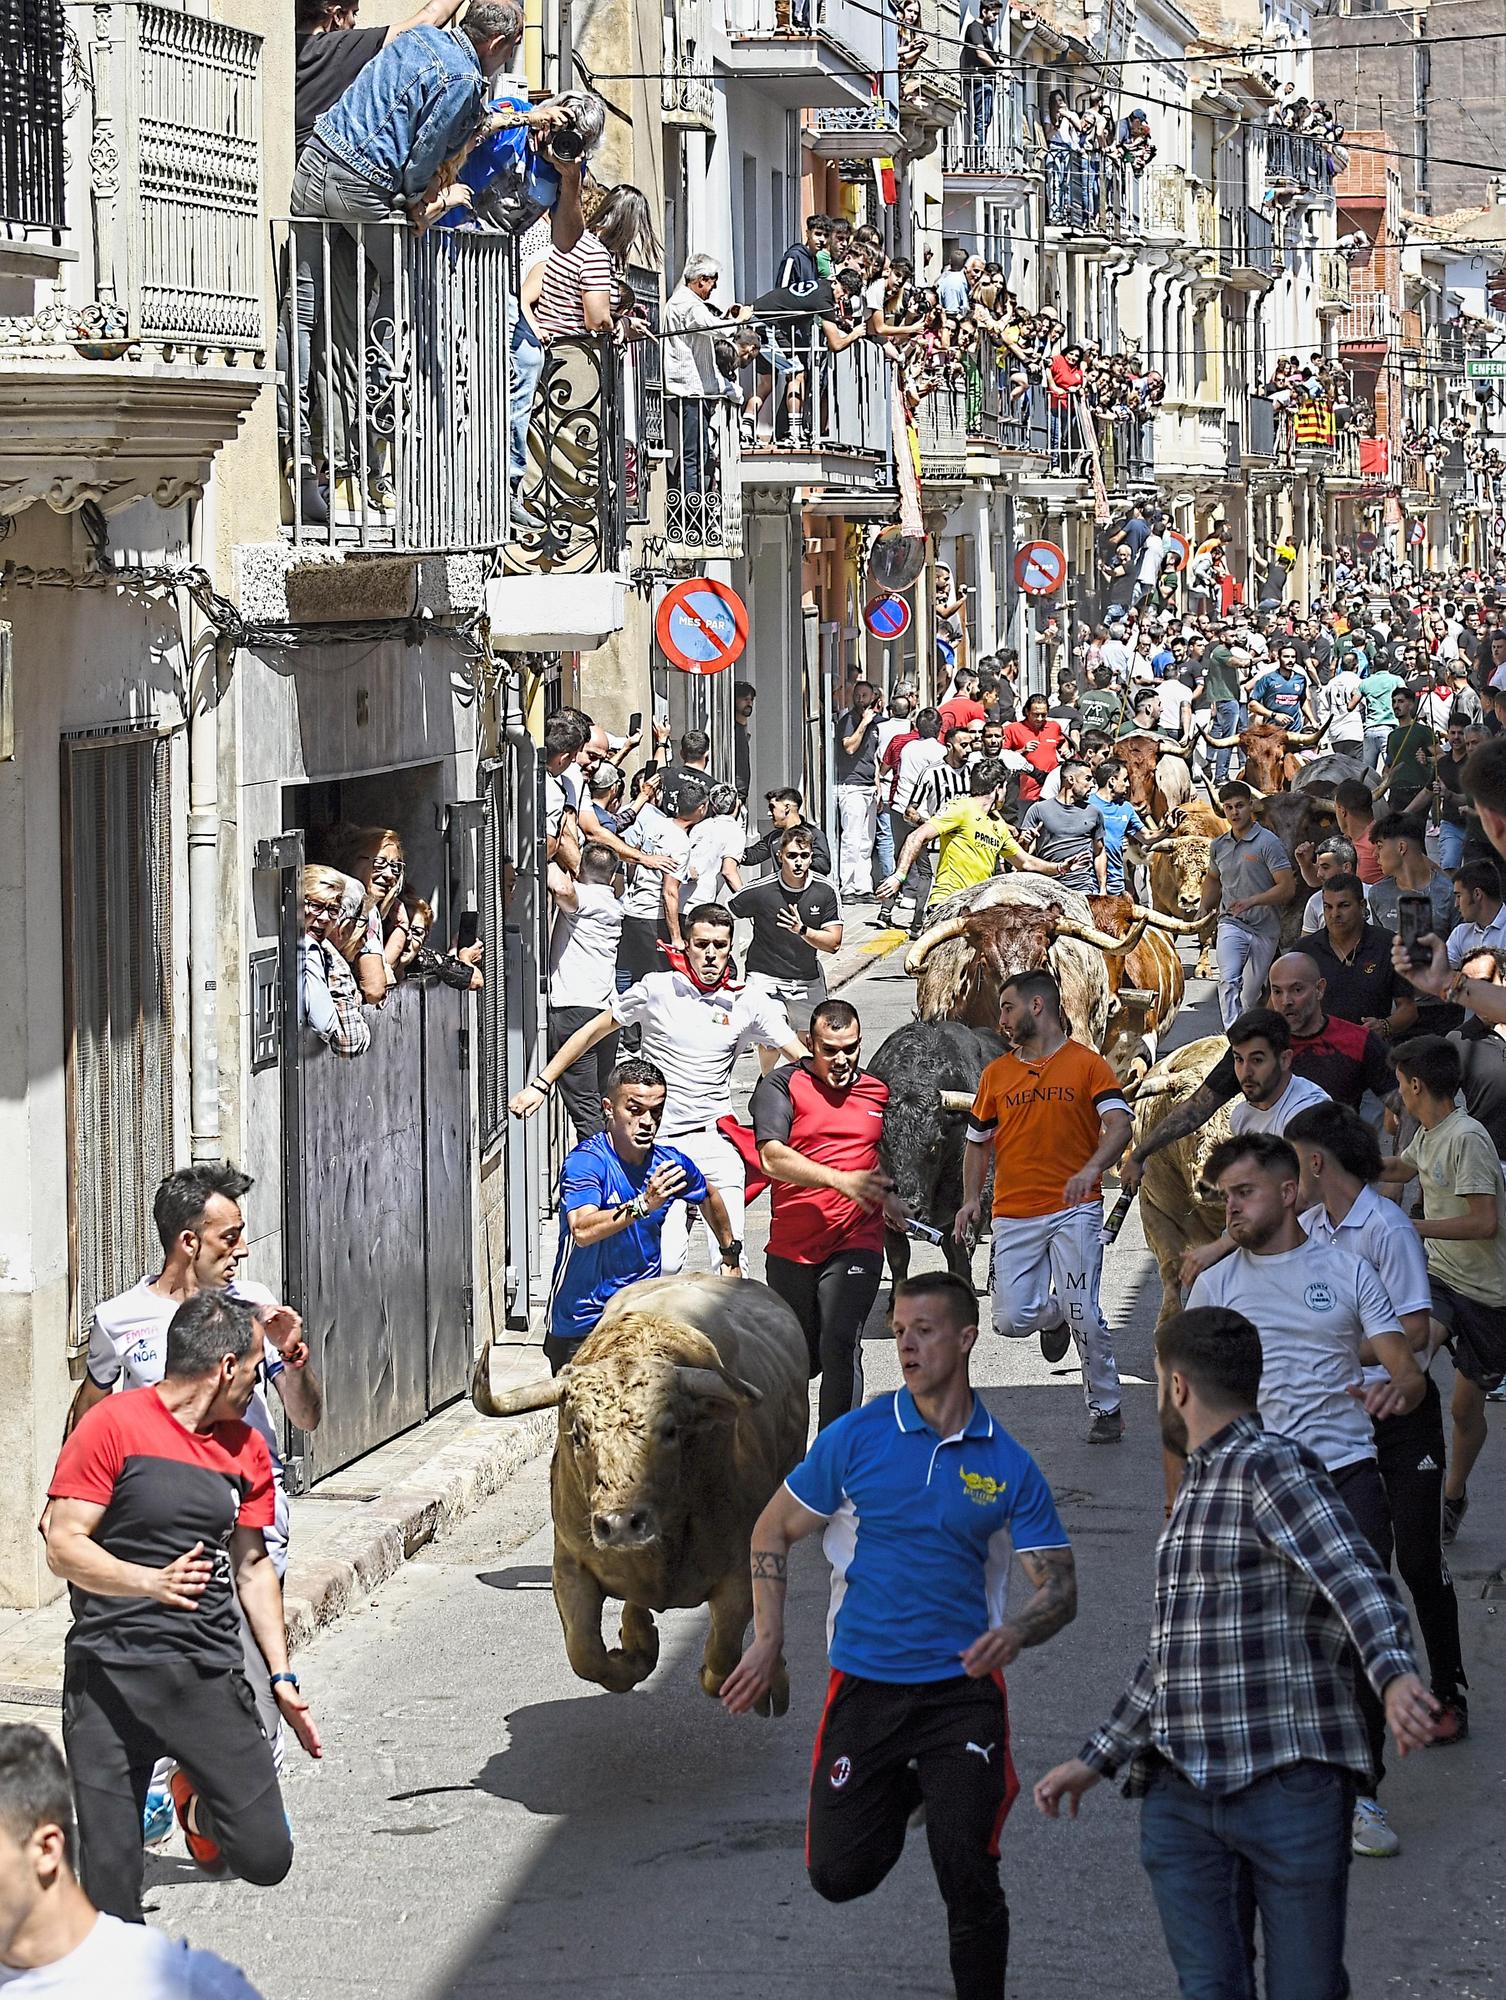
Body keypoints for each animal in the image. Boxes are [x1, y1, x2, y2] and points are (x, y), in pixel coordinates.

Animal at [476, 1272, 812, 1712]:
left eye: (669, 1430)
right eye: (578, 1433)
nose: (620, 1524)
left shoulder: (741, 1571)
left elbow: (722, 1658)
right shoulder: (571, 1563)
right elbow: (585, 1653)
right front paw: (634, 1653)